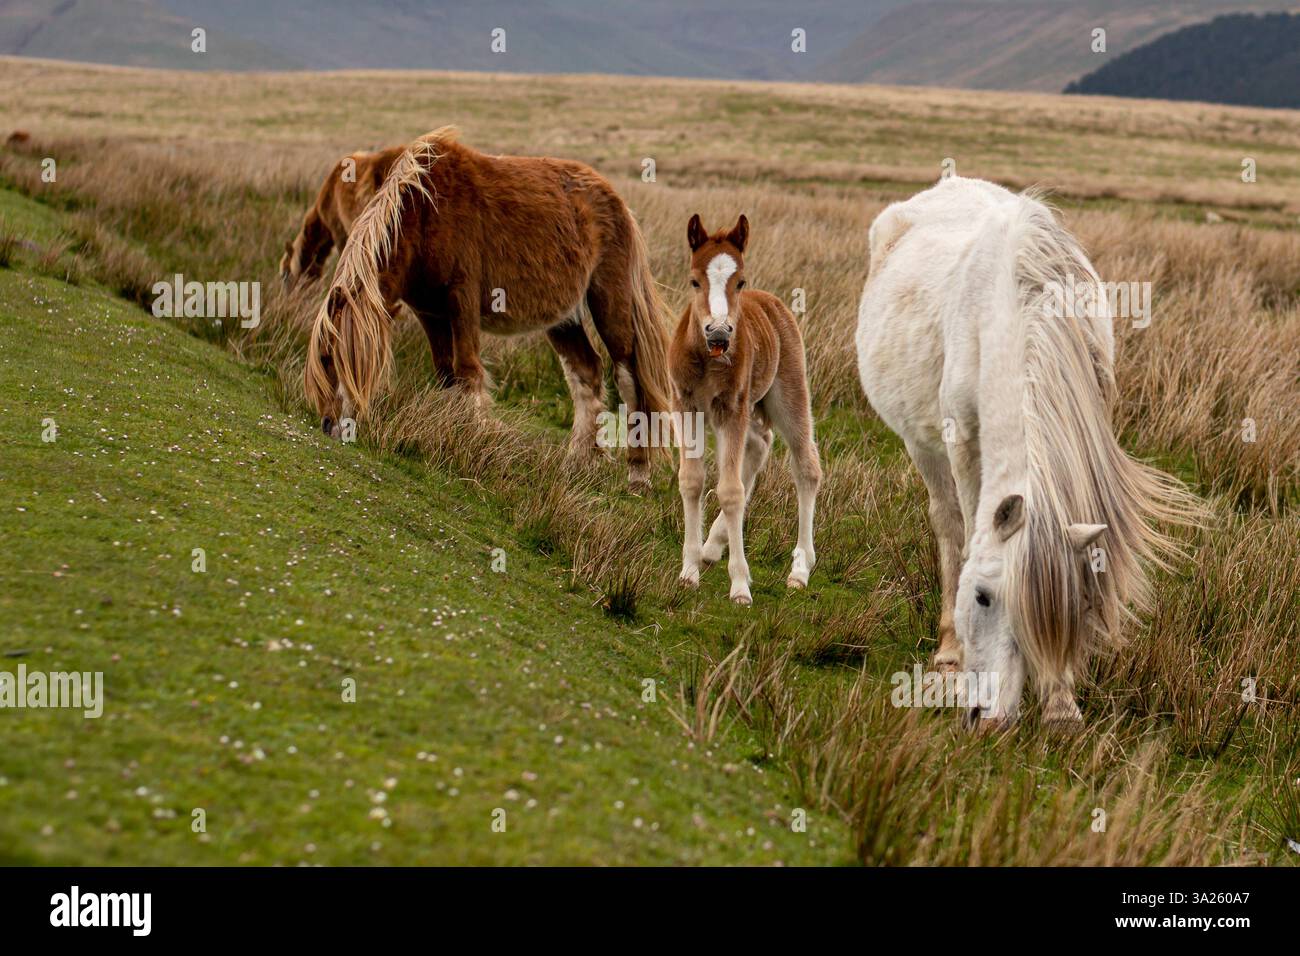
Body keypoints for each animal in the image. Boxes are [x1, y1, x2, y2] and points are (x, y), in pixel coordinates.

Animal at [303, 127, 673, 491]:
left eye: (329, 358)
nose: (327, 425)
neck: (423, 214)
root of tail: (615, 199)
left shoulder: (462, 301)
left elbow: (468, 372)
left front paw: (472, 441)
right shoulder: (431, 314)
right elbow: (447, 376)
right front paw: (451, 436)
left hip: (610, 301)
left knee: (629, 378)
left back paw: (637, 474)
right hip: (563, 317)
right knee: (586, 372)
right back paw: (578, 463)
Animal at [671, 213, 822, 605]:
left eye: (740, 282)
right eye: (694, 281)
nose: (719, 333)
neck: (709, 361)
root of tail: (772, 301)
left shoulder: (731, 409)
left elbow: (730, 490)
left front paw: (740, 585)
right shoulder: (686, 406)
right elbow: (692, 481)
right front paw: (689, 570)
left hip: (787, 394)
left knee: (806, 466)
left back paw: (800, 569)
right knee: (759, 445)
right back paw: (711, 546)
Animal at [856, 176, 1201, 725]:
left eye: (1077, 603)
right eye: (981, 597)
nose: (989, 717)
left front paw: (1061, 702)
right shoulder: (963, 442)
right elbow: (967, 531)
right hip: (921, 444)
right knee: (947, 523)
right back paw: (948, 652)